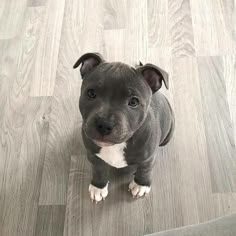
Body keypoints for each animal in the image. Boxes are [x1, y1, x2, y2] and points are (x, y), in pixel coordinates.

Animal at [74, 52, 175, 202]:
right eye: (91, 93)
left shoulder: (148, 158)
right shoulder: (93, 155)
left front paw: (141, 185)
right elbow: (98, 170)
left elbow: (145, 169)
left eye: (133, 102)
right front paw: (98, 187)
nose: (104, 124)